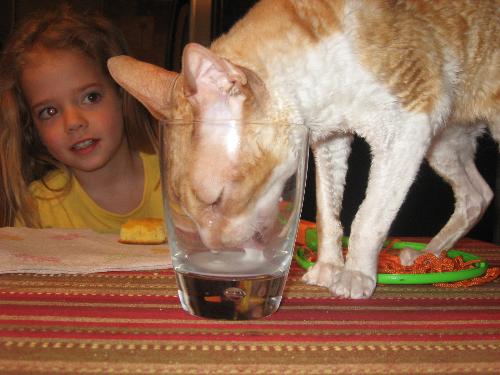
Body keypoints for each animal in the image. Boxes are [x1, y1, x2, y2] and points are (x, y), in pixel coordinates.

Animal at [107, 0, 498, 300]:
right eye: (186, 212)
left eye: (216, 199)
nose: (216, 250)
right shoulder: (329, 141)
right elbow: (327, 213)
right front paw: (328, 266)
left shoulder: (409, 124)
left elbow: (367, 216)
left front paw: (354, 273)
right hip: (445, 143)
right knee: (477, 195)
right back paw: (426, 256)